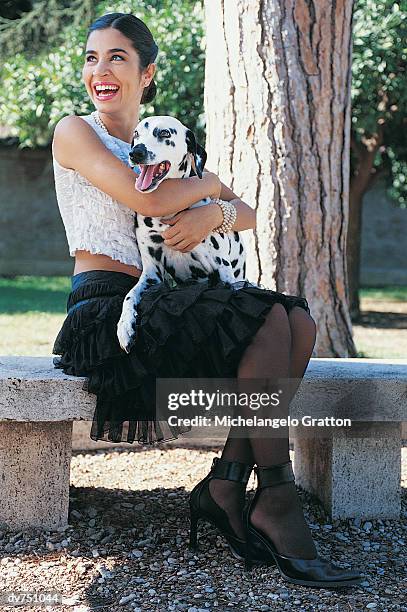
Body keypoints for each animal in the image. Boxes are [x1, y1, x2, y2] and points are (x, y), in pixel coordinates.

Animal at [116, 116, 247, 354]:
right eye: (137, 134)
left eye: (164, 133)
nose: (136, 153)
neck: (168, 215)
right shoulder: (151, 273)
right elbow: (129, 296)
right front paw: (124, 327)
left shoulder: (223, 270)